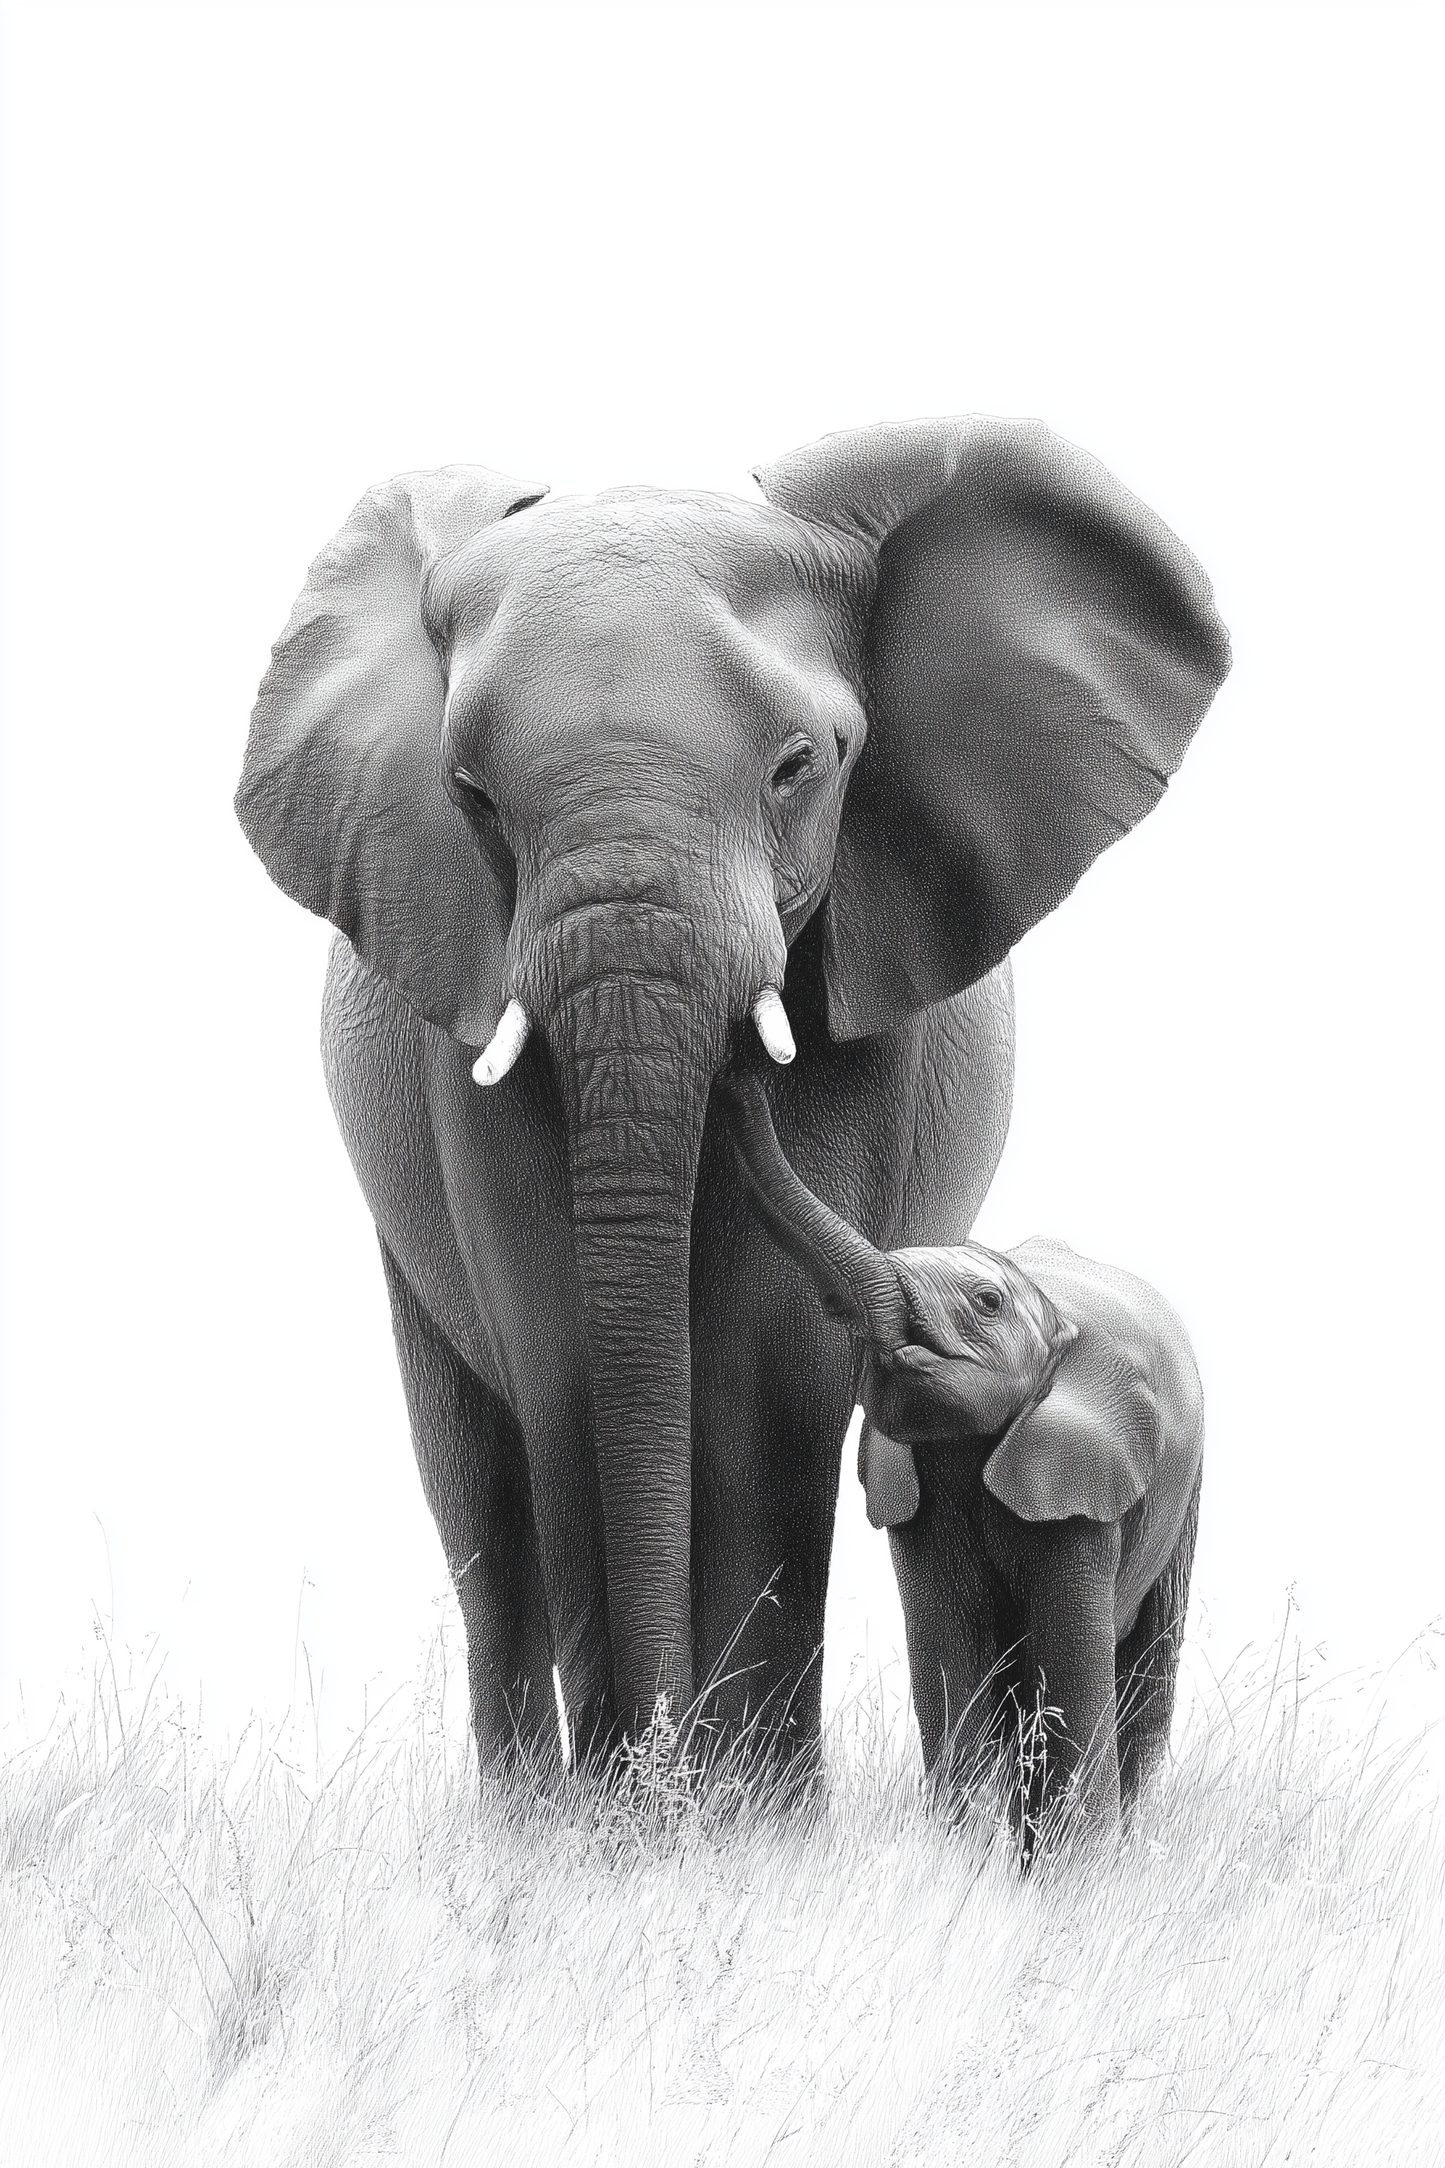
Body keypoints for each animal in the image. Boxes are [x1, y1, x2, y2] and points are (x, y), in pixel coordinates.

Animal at [721, 1068, 1205, 1843]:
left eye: (985, 1302)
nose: (740, 1075)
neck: (1054, 1315)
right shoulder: (923, 1488)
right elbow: (951, 1648)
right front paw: (959, 1852)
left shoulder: (1082, 1482)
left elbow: (1070, 1660)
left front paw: (1077, 1863)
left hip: (1183, 1500)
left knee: (1145, 1666)